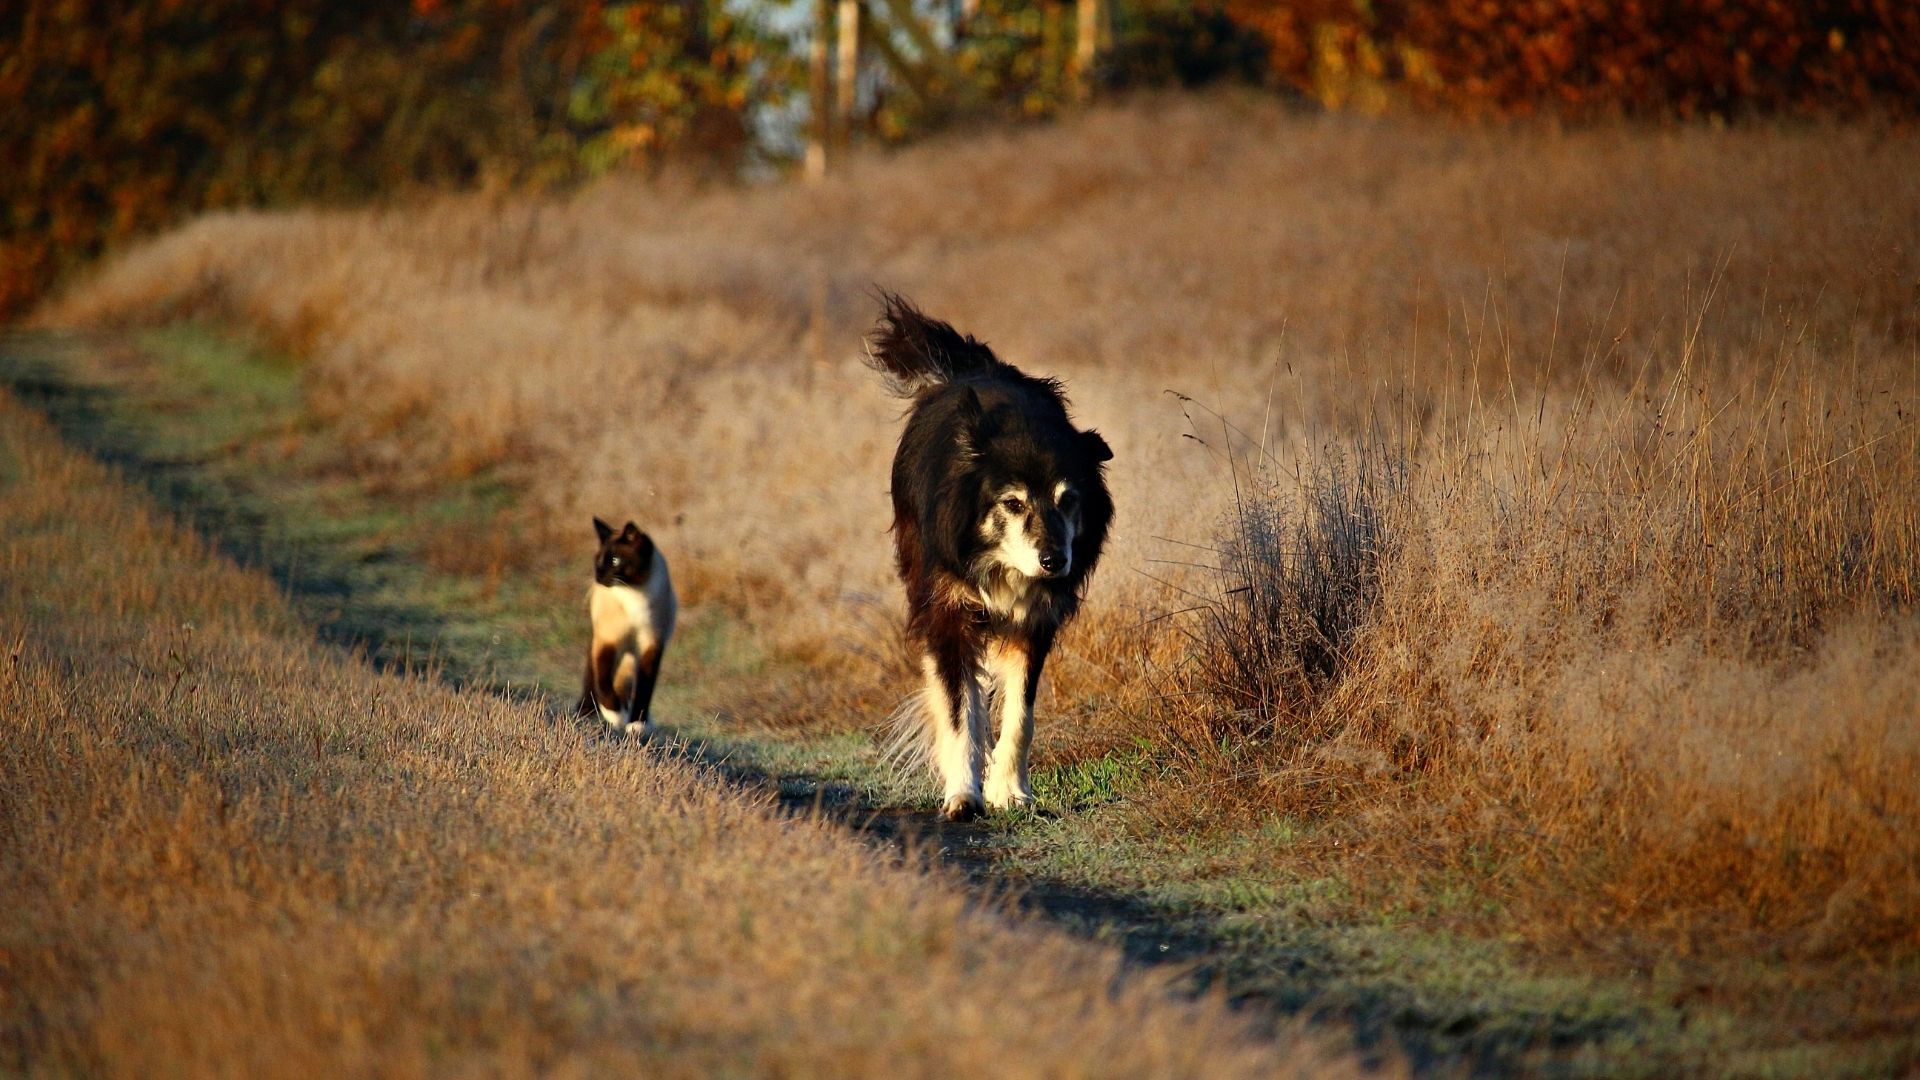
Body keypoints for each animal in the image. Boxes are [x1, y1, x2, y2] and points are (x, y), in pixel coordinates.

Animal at [867, 294, 1121, 814]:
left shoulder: (1034, 621)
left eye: (1069, 499)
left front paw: (1012, 793)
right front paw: (964, 797)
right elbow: (958, 709)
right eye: (1013, 503)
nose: (1054, 562)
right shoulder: (948, 609)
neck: (1000, 565)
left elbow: (1021, 713)